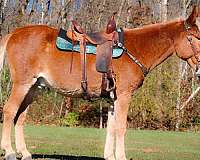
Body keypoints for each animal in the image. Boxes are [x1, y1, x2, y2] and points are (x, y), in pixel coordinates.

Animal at [0, 6, 200, 160]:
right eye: (196, 38)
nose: (199, 69)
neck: (134, 49)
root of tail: (14, 33)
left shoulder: (113, 98)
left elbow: (111, 128)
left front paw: (110, 156)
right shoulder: (124, 96)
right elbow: (121, 127)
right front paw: (121, 156)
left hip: (34, 88)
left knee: (20, 116)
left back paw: (25, 153)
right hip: (22, 84)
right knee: (9, 111)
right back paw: (9, 152)